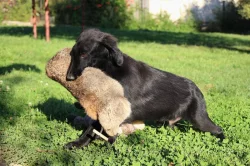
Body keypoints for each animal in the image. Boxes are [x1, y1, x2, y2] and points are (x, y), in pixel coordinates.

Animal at [65, 28, 225, 148]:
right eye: (72, 54)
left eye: (84, 54)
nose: (69, 77)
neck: (111, 69)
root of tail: (197, 89)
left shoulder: (115, 110)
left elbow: (93, 128)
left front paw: (79, 143)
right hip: (168, 123)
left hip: (199, 118)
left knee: (218, 129)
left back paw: (222, 140)